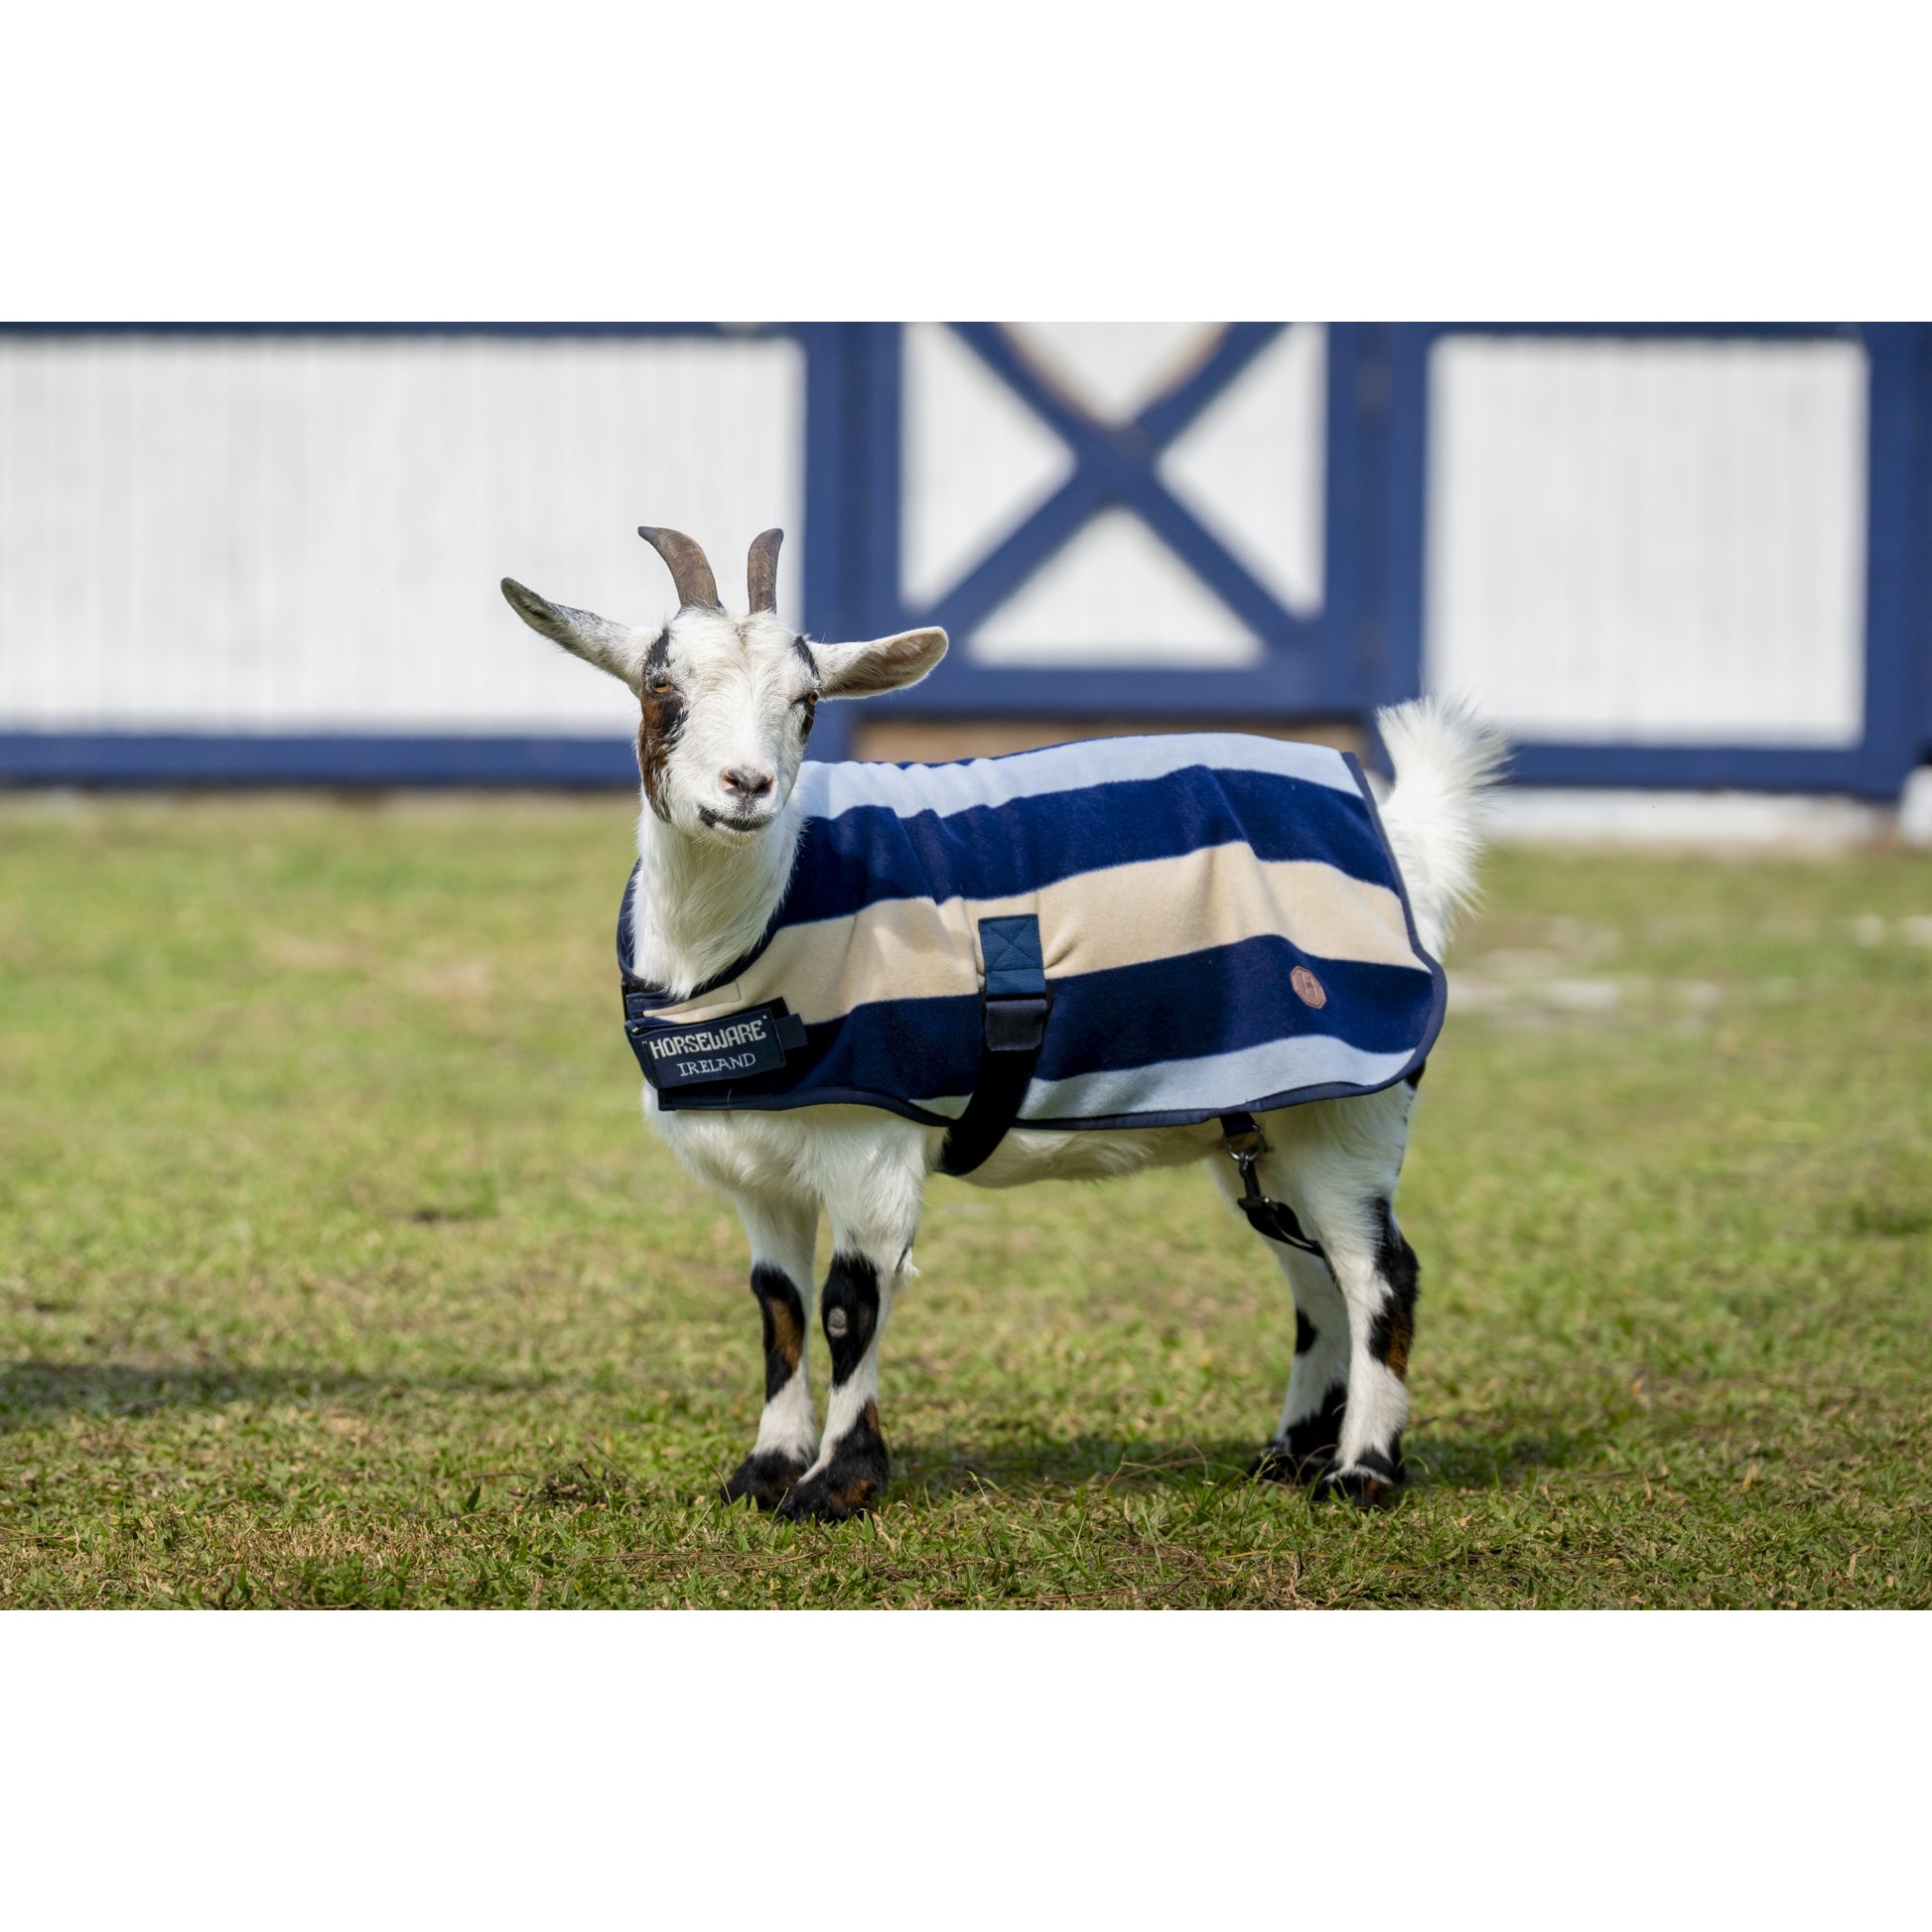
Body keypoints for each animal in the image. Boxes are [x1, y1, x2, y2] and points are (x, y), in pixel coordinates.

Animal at [502, 526, 1505, 1520]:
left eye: (808, 701)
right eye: (660, 685)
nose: (745, 786)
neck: (755, 924)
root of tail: (1402, 845)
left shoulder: (871, 1144)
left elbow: (847, 1304)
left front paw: (837, 1484)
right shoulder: (762, 1166)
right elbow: (775, 1304)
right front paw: (765, 1472)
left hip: (1350, 1109)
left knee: (1379, 1273)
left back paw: (1362, 1471)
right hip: (1261, 1120)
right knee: (1311, 1270)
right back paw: (1290, 1453)